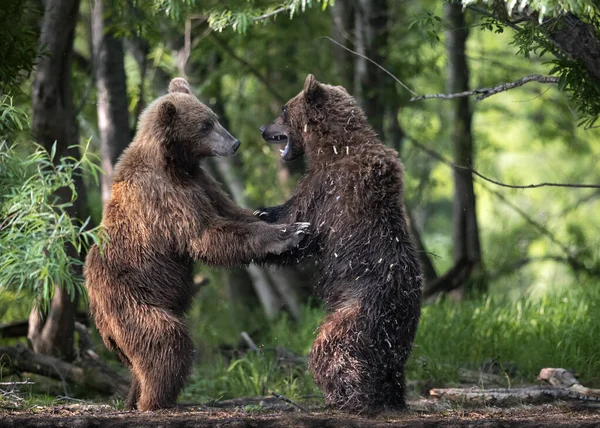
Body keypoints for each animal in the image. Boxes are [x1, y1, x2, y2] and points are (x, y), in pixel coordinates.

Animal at [85, 77, 310, 412]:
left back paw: (135, 397)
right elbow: (206, 235)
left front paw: (272, 217)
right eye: (205, 124)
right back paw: (157, 399)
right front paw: (289, 232)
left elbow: (232, 212)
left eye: (214, 117)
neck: (176, 164)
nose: (234, 143)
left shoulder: (202, 184)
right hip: (129, 300)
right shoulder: (167, 198)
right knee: (164, 340)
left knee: (142, 360)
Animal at [256, 74, 422, 414]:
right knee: (392, 363)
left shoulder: (327, 189)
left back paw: (348, 396)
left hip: (358, 308)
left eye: (283, 109)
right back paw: (390, 395)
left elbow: (300, 223)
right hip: (398, 330)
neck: (331, 146)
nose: (262, 128)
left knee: (333, 347)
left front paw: (265, 217)